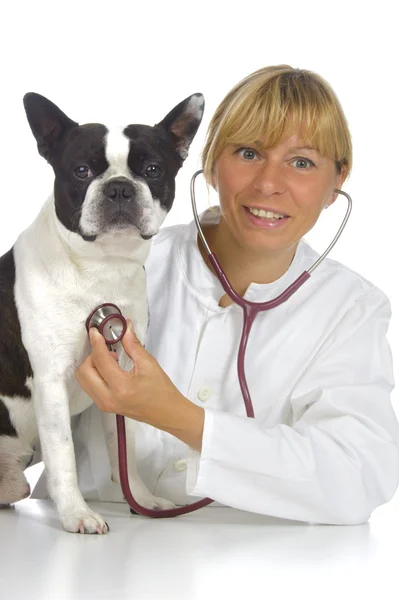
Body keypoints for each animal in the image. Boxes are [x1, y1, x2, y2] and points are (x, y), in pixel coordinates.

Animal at [0, 91, 205, 532]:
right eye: (81, 170)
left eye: (152, 170)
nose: (119, 188)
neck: (100, 267)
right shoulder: (51, 383)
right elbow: (63, 454)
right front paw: (77, 513)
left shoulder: (121, 374)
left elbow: (121, 446)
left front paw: (140, 499)